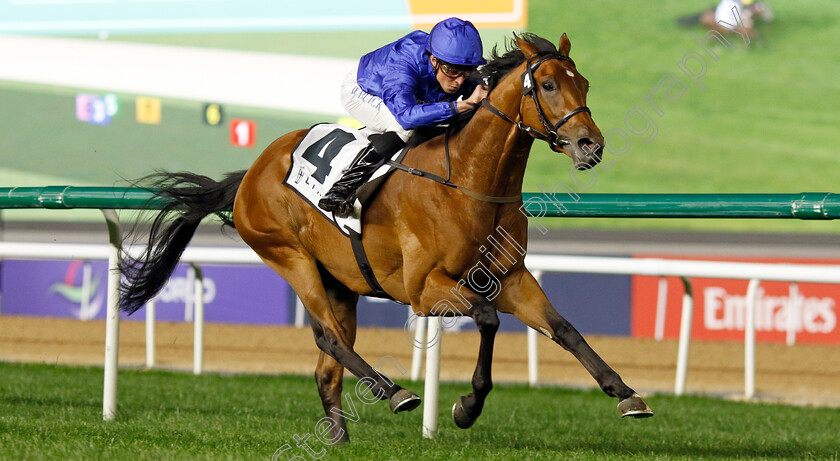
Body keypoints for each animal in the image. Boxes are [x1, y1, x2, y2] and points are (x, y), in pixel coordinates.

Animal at [121, 33, 652, 442]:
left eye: (583, 82)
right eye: (546, 84)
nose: (590, 144)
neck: (470, 181)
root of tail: (251, 172)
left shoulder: (513, 278)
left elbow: (564, 329)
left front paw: (626, 394)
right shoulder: (424, 289)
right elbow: (486, 318)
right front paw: (466, 406)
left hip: (341, 282)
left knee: (327, 361)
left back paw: (339, 434)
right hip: (290, 257)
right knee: (328, 337)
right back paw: (393, 391)